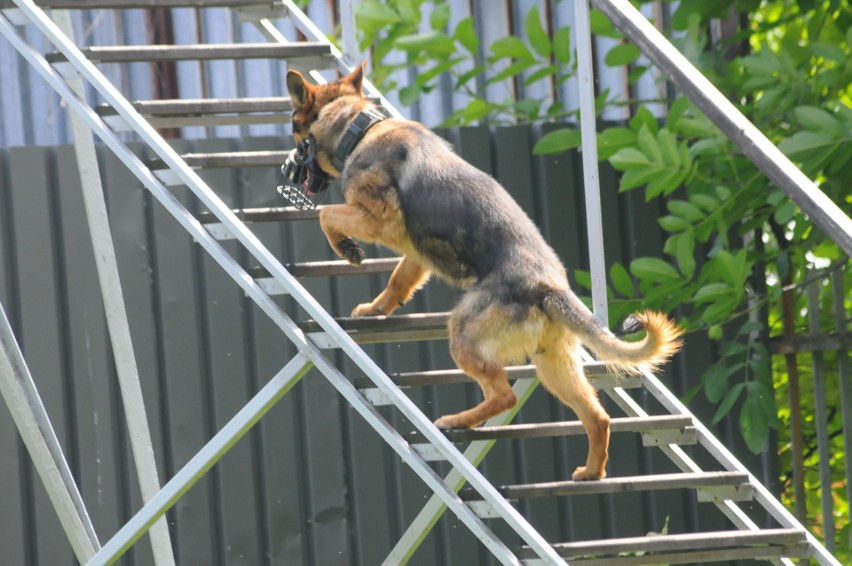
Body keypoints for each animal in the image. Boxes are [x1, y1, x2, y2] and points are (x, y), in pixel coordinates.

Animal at [290, 63, 684, 480]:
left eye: (294, 130)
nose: (290, 168)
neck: (359, 127)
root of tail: (550, 288)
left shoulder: (381, 221)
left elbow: (327, 214)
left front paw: (346, 248)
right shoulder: (415, 253)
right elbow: (398, 280)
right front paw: (376, 309)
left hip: (465, 335)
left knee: (505, 395)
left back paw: (458, 420)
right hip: (553, 364)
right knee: (597, 417)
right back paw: (591, 471)